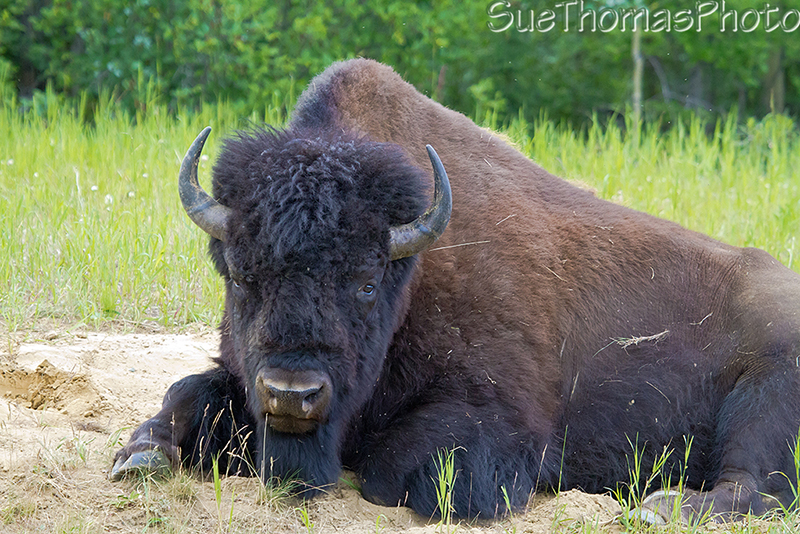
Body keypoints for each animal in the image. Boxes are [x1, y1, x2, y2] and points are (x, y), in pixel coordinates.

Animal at [112, 59, 800, 523]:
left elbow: (392, 467)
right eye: (240, 275)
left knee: (752, 485)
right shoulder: (238, 375)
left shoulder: (497, 424)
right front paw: (140, 456)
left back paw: (662, 505)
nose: (292, 393)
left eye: (366, 283)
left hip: (764, 396)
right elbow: (186, 391)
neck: (412, 275)